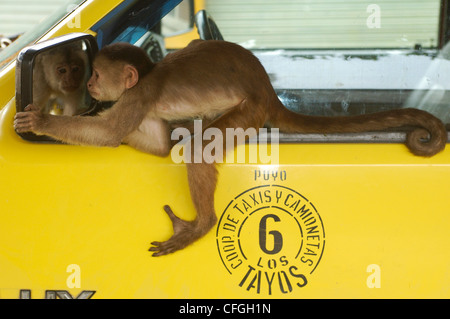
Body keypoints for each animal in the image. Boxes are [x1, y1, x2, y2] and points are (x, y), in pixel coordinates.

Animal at [14, 39, 446, 258]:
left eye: (97, 74)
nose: (89, 86)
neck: (147, 77)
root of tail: (269, 93)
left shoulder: (141, 95)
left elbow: (108, 134)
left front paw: (41, 123)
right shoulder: (143, 103)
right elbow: (154, 145)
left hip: (249, 112)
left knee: (200, 149)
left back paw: (202, 223)